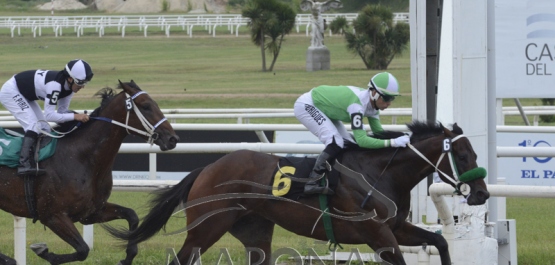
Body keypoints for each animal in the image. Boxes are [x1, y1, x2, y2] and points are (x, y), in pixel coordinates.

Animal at [0, 80, 178, 264]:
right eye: (146, 106)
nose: (173, 139)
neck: (81, 157)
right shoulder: (52, 215)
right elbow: (82, 250)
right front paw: (44, 252)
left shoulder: (91, 212)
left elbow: (132, 215)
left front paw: (127, 257)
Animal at [106, 120, 488, 264]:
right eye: (463, 155)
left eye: (475, 153)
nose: (482, 195)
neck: (380, 172)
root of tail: (207, 168)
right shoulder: (377, 233)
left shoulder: (396, 227)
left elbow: (438, 241)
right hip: (206, 227)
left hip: (255, 231)